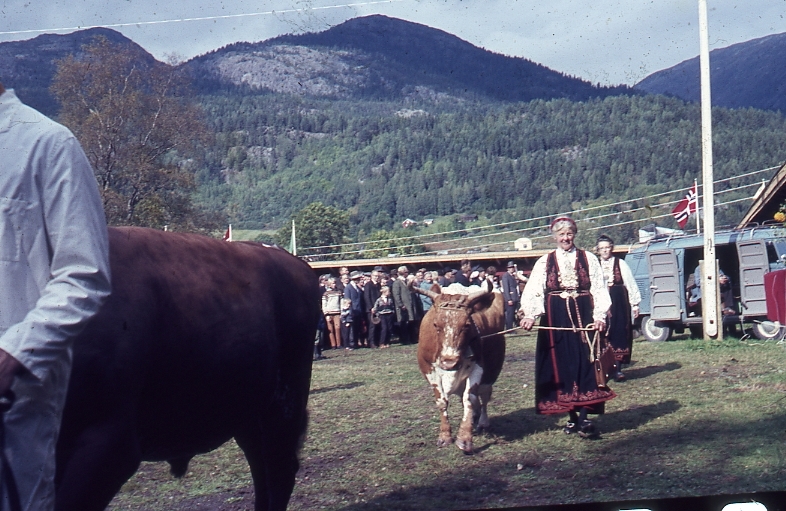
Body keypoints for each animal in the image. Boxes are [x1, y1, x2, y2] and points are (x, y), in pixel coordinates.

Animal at [54, 228, 318, 511]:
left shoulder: (107, 443)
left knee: (279, 472)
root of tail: (291, 260)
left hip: (282, 405)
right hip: (248, 412)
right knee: (262, 470)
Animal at [414, 282, 506, 454]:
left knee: (483, 397)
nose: (449, 362)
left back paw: (482, 422)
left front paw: (464, 439)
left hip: (490, 375)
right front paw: (445, 436)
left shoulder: (479, 367)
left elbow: (469, 398)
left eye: (467, 325)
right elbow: (442, 401)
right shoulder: (429, 368)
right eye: (436, 324)